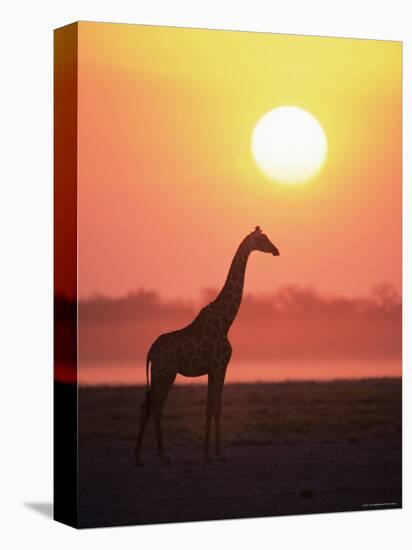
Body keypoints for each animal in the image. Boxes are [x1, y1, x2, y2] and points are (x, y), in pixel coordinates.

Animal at [135, 227, 280, 466]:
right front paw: (220, 453)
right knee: (155, 407)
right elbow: (218, 408)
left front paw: (207, 454)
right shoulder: (221, 365)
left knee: (145, 405)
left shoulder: (212, 369)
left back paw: (138, 455)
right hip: (166, 372)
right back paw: (163, 456)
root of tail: (149, 353)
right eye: (263, 239)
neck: (226, 321)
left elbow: (209, 408)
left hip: (159, 373)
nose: (276, 250)